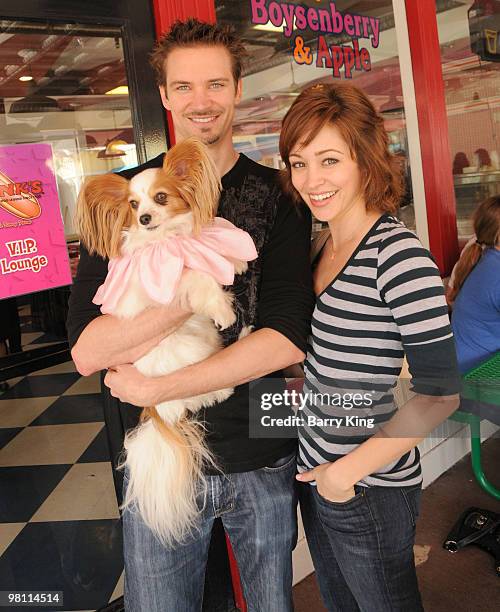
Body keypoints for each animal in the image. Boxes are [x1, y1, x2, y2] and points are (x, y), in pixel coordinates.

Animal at [78, 139, 258, 544]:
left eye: (160, 197)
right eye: (133, 206)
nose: (145, 218)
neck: (166, 239)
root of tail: (156, 411)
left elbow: (210, 250)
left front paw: (235, 260)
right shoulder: (171, 281)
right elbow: (198, 275)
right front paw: (222, 307)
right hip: (190, 357)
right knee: (205, 393)